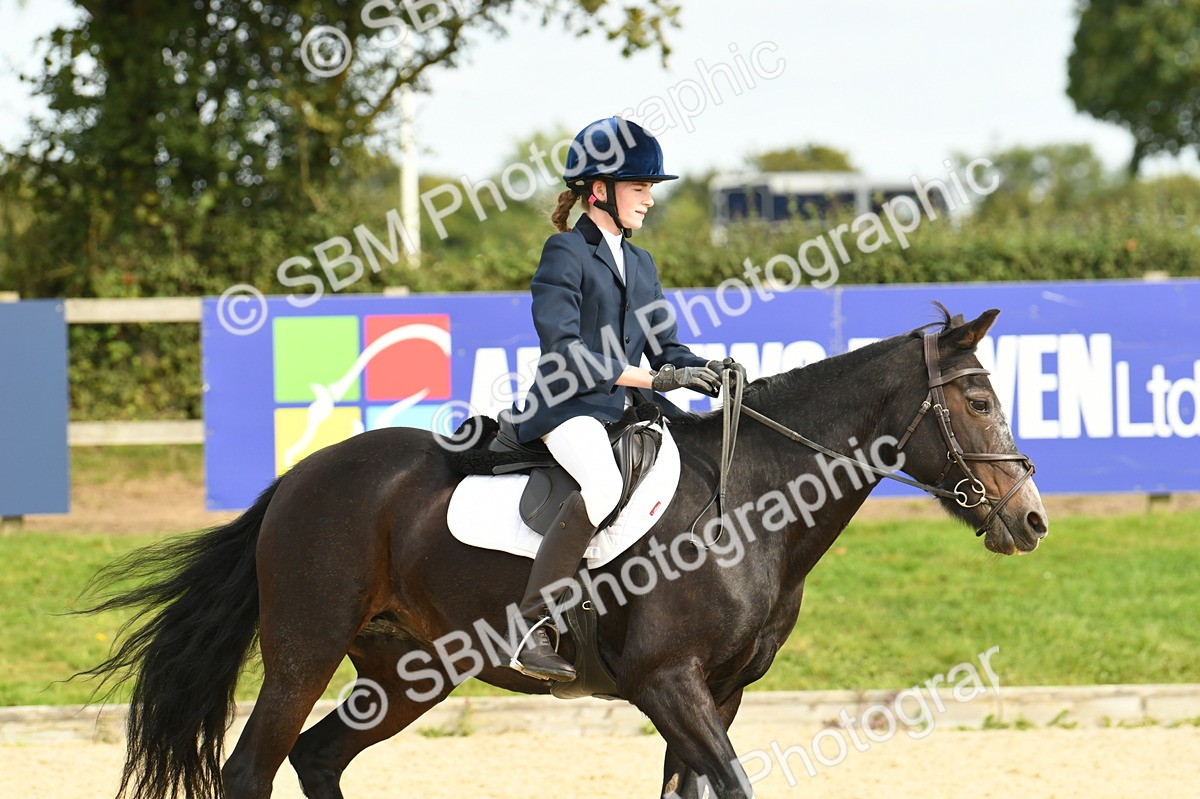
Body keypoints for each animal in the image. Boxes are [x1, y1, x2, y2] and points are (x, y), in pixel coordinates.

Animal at [81, 306, 1048, 799]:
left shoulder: (720, 692)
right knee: (252, 768)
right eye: (976, 401)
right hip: (304, 650)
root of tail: (299, 479)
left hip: (406, 671)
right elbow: (735, 789)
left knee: (319, 758)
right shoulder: (667, 681)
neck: (752, 498)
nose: (1031, 518)